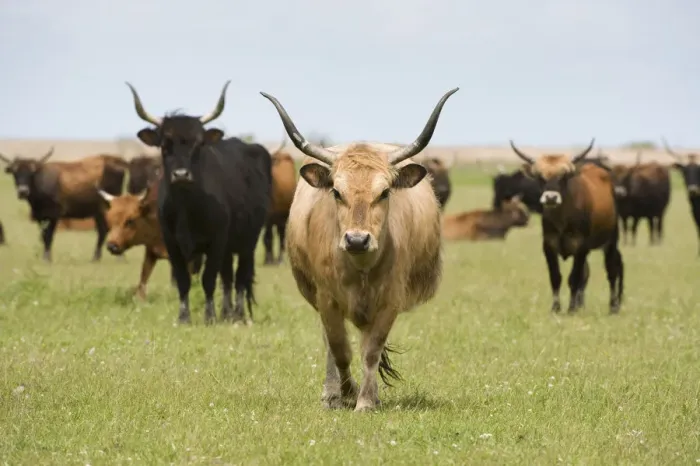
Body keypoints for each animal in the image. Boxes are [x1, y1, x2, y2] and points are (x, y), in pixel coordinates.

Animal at [0, 148, 128, 262]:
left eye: (31, 173)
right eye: (15, 173)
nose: (23, 191)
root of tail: (115, 159)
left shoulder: (54, 215)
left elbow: (49, 236)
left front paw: (47, 259)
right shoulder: (40, 216)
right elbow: (43, 236)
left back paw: (119, 258)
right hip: (98, 211)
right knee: (102, 231)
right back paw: (96, 258)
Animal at [125, 80, 272, 325]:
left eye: (198, 144)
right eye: (165, 145)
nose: (181, 175)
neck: (186, 206)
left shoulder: (216, 241)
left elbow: (208, 279)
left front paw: (209, 316)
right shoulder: (172, 242)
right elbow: (183, 280)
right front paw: (184, 317)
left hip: (248, 241)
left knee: (240, 277)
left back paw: (238, 315)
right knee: (228, 277)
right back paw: (227, 313)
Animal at [263, 136, 298, 265]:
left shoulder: (269, 217)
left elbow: (269, 238)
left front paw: (270, 260)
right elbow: (266, 239)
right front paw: (267, 260)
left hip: (282, 217)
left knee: (281, 235)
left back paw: (280, 259)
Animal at [509, 138, 624, 314]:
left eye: (563, 176)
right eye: (540, 177)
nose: (551, 197)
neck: (562, 221)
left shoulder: (581, 247)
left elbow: (574, 278)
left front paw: (571, 309)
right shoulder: (548, 246)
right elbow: (556, 277)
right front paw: (556, 308)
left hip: (611, 241)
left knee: (611, 271)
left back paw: (612, 307)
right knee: (587, 273)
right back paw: (581, 305)